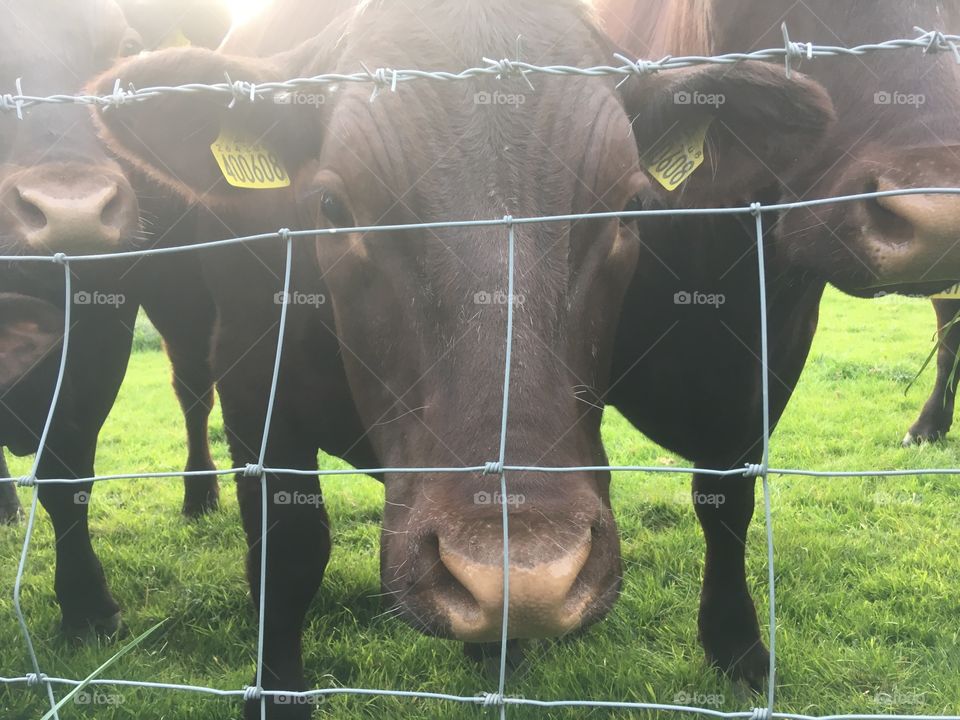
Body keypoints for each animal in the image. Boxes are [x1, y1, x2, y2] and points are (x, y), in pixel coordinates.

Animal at [0, 0, 233, 524]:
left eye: (127, 46)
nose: (73, 214)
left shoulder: (99, 338)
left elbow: (66, 481)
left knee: (193, 388)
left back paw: (201, 493)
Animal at [89, 0, 834, 715]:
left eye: (630, 204)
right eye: (331, 204)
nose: (524, 579)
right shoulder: (251, 380)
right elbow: (288, 552)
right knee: (190, 391)